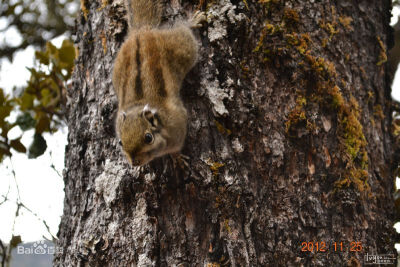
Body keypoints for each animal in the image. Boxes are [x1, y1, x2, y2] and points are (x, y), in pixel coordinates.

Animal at [112, 0, 206, 165]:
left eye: (148, 138)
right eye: (120, 142)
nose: (134, 163)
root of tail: (141, 31)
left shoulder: (178, 127)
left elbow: (176, 147)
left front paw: (177, 158)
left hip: (183, 47)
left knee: (184, 30)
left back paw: (192, 22)